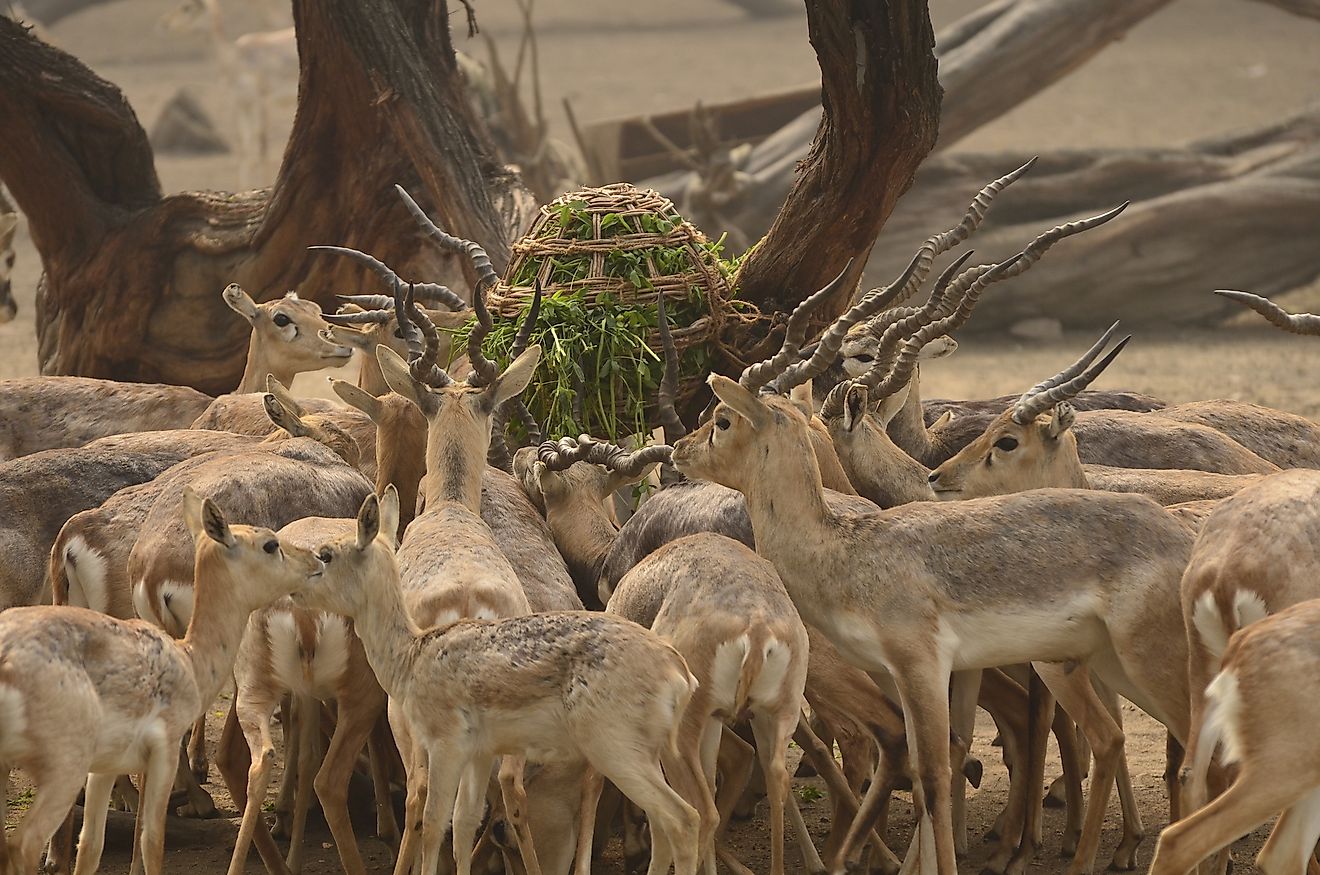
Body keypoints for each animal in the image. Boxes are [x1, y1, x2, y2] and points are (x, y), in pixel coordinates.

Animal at [0, 488, 322, 875]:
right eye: (270, 544)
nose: (316, 559)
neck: (188, 658)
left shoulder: (104, 768)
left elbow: (91, 846)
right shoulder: (162, 755)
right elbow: (152, 841)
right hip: (62, 769)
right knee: (21, 846)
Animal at [297, 488, 712, 875]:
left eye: (326, 555)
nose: (294, 590)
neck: (411, 656)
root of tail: (679, 673)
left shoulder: (445, 745)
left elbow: (433, 824)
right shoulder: (480, 753)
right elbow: (464, 823)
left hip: (616, 750)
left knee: (683, 818)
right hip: (650, 754)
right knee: (666, 822)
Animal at [675, 217, 1203, 875]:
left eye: (723, 419)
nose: (678, 450)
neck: (850, 551)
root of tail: (1187, 539)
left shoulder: (925, 667)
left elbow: (934, 771)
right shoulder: (900, 676)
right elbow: (924, 765)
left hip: (1139, 662)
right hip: (1106, 663)